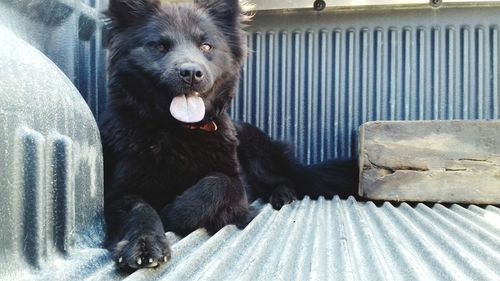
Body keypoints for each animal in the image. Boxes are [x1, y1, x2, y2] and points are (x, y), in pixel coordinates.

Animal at [100, 0, 360, 272]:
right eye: (160, 46)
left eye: (206, 46)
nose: (191, 73)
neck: (178, 130)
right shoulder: (120, 192)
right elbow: (139, 209)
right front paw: (144, 242)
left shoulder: (238, 188)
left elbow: (218, 184)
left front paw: (176, 211)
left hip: (257, 156)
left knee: (286, 179)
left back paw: (282, 195)